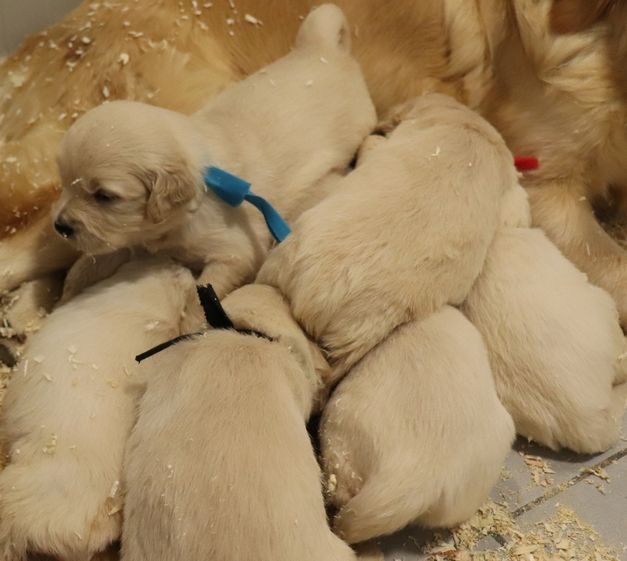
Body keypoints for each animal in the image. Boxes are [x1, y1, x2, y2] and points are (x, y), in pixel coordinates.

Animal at [51, 3, 376, 302]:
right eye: (65, 183)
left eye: (105, 196)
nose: (60, 227)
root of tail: (319, 48)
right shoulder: (131, 238)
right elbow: (88, 263)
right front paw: (64, 295)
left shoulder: (233, 255)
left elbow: (204, 295)